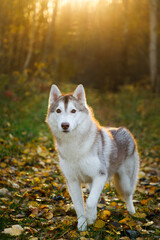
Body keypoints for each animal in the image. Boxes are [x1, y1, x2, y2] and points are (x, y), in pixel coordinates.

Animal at [45, 84, 139, 231]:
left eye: (73, 110)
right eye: (58, 110)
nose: (65, 125)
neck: (74, 146)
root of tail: (124, 129)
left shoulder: (100, 175)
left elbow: (89, 202)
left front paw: (90, 218)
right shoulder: (72, 181)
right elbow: (79, 205)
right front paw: (82, 225)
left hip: (126, 181)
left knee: (128, 196)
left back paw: (131, 213)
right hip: (91, 183)